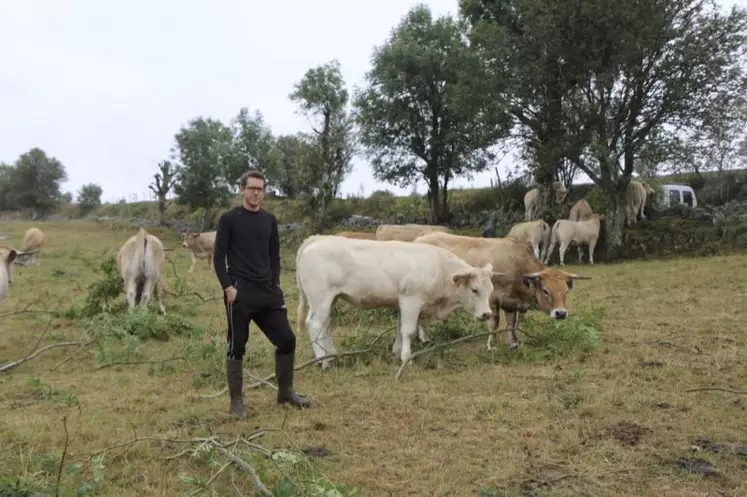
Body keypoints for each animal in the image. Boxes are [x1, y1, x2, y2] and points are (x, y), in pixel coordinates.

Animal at [294, 234, 502, 366]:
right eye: (474, 290)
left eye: (490, 290)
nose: (487, 314)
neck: (440, 269)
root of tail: (317, 239)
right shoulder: (412, 300)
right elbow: (408, 331)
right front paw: (406, 358)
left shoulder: (402, 303)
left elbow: (399, 328)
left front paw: (396, 351)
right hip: (320, 299)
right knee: (315, 325)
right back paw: (323, 361)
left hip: (331, 299)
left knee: (325, 326)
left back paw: (332, 355)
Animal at [414, 232, 592, 350]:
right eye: (546, 290)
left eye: (566, 291)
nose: (561, 313)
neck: (517, 268)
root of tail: (419, 239)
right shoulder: (492, 300)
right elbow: (494, 323)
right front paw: (491, 344)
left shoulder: (511, 303)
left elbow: (512, 324)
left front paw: (513, 343)